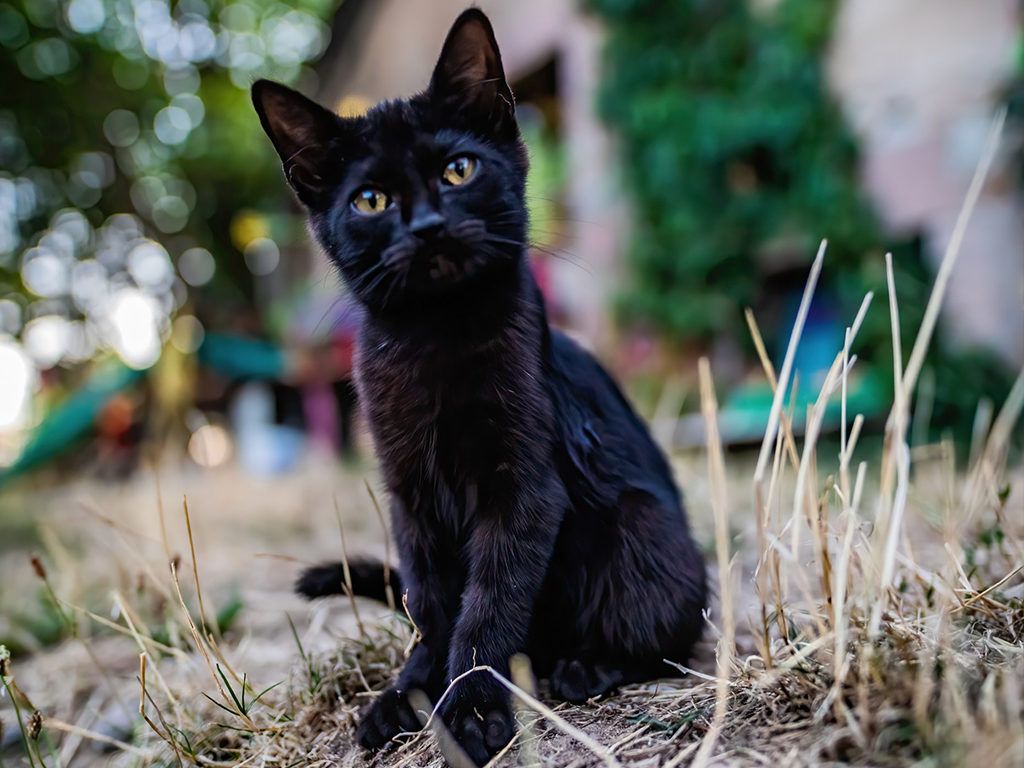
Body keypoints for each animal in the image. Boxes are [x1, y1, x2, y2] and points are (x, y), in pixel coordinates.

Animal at [251, 9, 708, 765]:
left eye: (458, 169)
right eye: (370, 200)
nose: (428, 226)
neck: (435, 339)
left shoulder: (523, 489)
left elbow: (488, 607)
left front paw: (468, 712)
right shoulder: (411, 498)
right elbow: (432, 606)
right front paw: (409, 693)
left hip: (643, 524)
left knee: (667, 633)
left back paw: (584, 666)